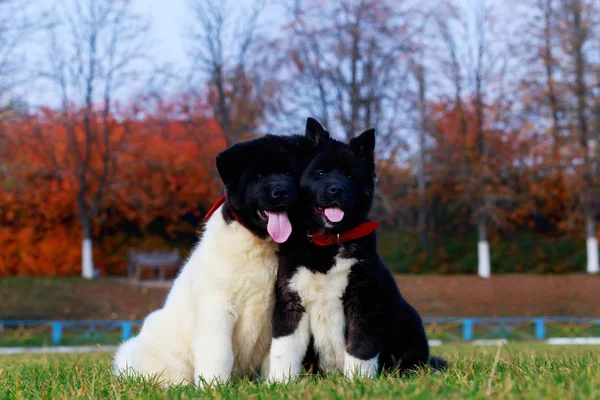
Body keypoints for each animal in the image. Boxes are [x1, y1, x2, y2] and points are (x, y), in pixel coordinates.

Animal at [268, 118, 446, 382]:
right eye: (320, 173)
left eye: (351, 176)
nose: (336, 189)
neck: (328, 244)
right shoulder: (291, 299)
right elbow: (283, 349)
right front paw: (279, 383)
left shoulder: (364, 299)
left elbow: (361, 346)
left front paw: (357, 382)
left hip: (411, 322)